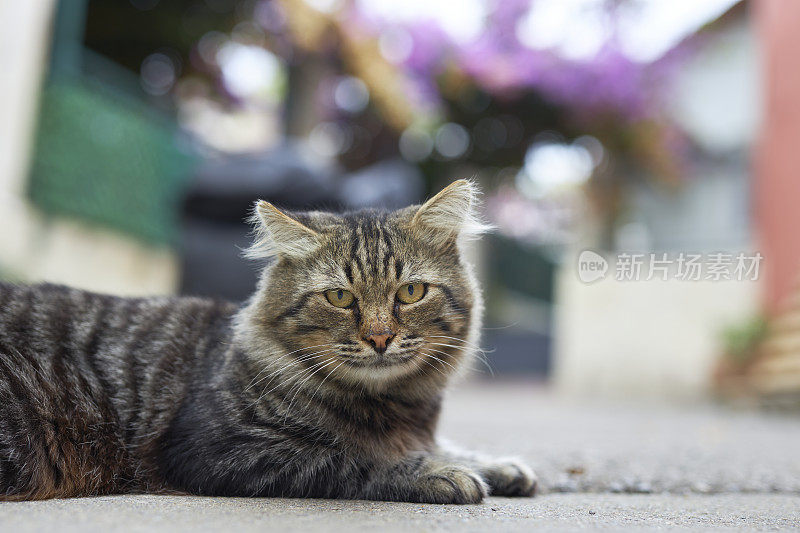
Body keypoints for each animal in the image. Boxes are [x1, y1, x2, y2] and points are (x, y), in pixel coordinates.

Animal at [1, 181, 536, 500]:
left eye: (410, 292)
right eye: (340, 297)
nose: (380, 337)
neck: (398, 406)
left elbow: (450, 445)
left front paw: (499, 467)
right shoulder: (220, 450)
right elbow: (359, 460)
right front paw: (436, 472)